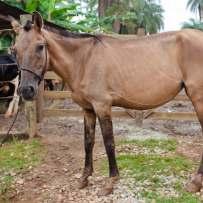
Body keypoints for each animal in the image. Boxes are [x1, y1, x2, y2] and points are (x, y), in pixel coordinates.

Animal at [11, 12, 203, 195]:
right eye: (14, 50)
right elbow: (88, 142)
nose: (26, 90)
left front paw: (110, 182)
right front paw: (84, 178)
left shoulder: (102, 106)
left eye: (40, 46)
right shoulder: (88, 109)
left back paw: (195, 183)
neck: (83, 60)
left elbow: (108, 142)